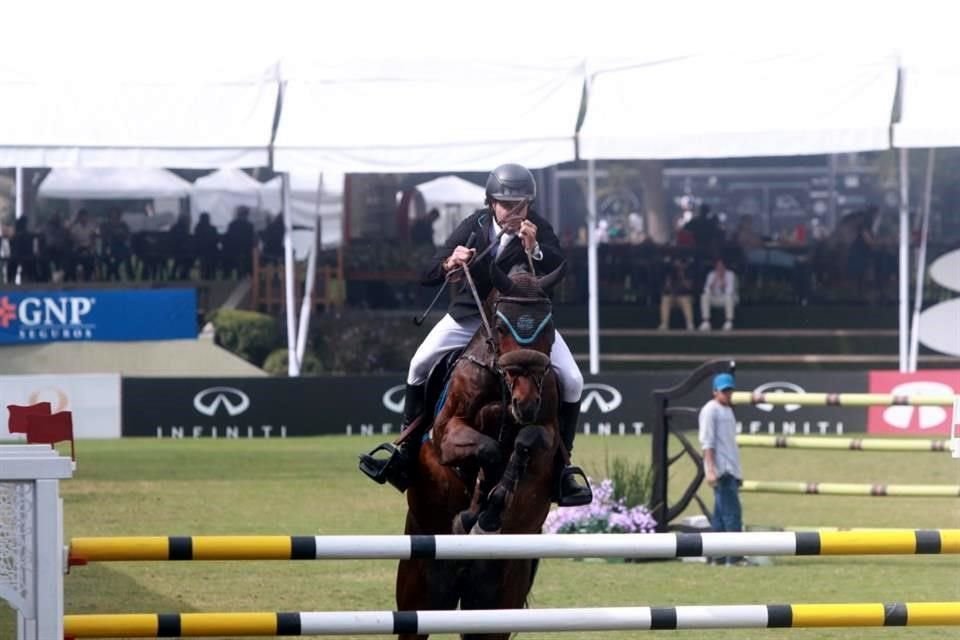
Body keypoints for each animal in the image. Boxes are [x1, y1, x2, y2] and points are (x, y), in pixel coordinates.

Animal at [396, 262, 568, 640]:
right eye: (502, 326)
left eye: (549, 327)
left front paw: (487, 513)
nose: (525, 402)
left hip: (496, 599)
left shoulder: (546, 432)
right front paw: (473, 514)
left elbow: (524, 442)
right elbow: (488, 450)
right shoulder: (447, 434)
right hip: (419, 587)